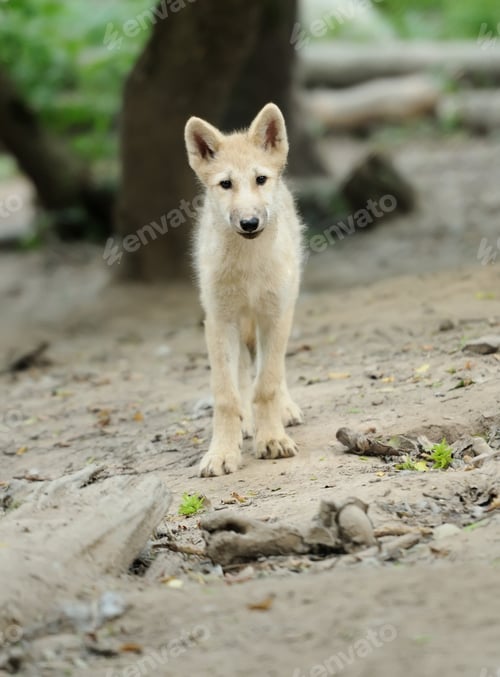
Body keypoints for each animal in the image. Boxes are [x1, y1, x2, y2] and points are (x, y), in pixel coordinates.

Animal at [184, 103, 304, 476]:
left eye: (260, 179)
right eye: (226, 184)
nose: (249, 223)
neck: (249, 267)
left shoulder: (275, 316)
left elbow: (266, 385)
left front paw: (273, 439)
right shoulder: (219, 321)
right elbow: (226, 396)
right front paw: (222, 453)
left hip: (284, 309)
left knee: (272, 372)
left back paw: (284, 412)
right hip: (236, 326)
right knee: (241, 376)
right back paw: (247, 425)